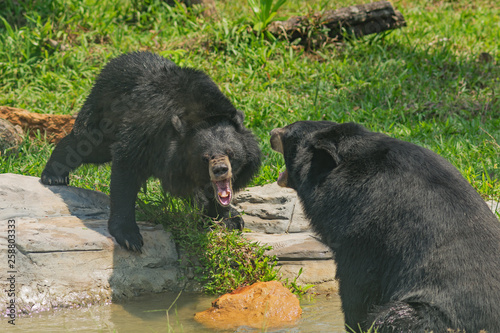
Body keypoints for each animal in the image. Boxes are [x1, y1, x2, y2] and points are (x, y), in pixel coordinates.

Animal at [41, 50, 262, 250]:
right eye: (205, 158)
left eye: (231, 154)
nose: (220, 170)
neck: (200, 114)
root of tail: (115, 61)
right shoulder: (148, 130)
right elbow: (126, 169)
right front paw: (129, 237)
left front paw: (230, 218)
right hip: (104, 113)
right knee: (85, 145)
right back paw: (53, 176)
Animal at [272, 120, 500, 332]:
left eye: (289, 135)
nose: (272, 132)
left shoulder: (364, 225)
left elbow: (358, 282)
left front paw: (354, 325)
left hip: (433, 313)